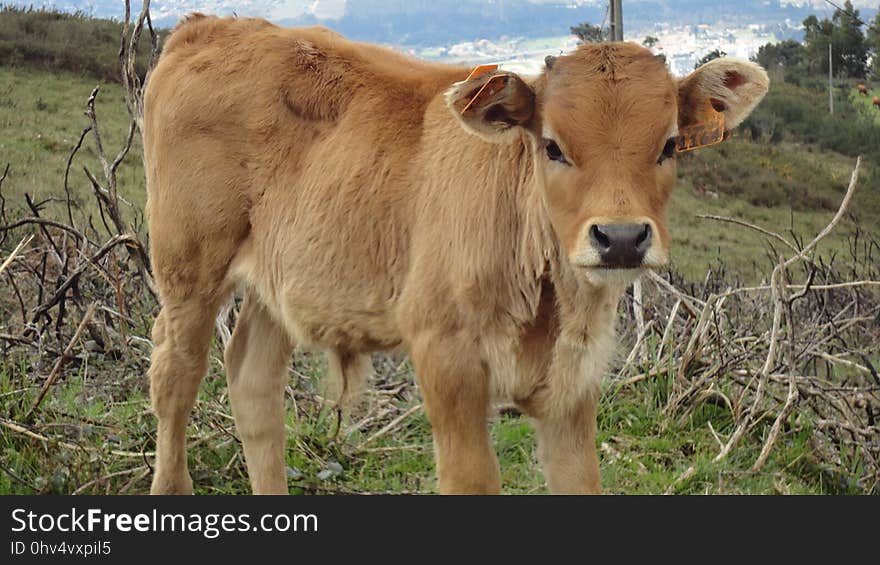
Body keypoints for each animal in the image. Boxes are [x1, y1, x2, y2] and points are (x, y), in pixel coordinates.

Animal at [141, 14, 768, 494]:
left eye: (669, 145)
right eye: (552, 147)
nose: (619, 238)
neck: (548, 303)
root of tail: (212, 25)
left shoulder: (574, 384)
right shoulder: (445, 355)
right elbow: (472, 480)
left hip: (277, 284)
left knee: (252, 382)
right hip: (188, 264)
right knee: (175, 376)